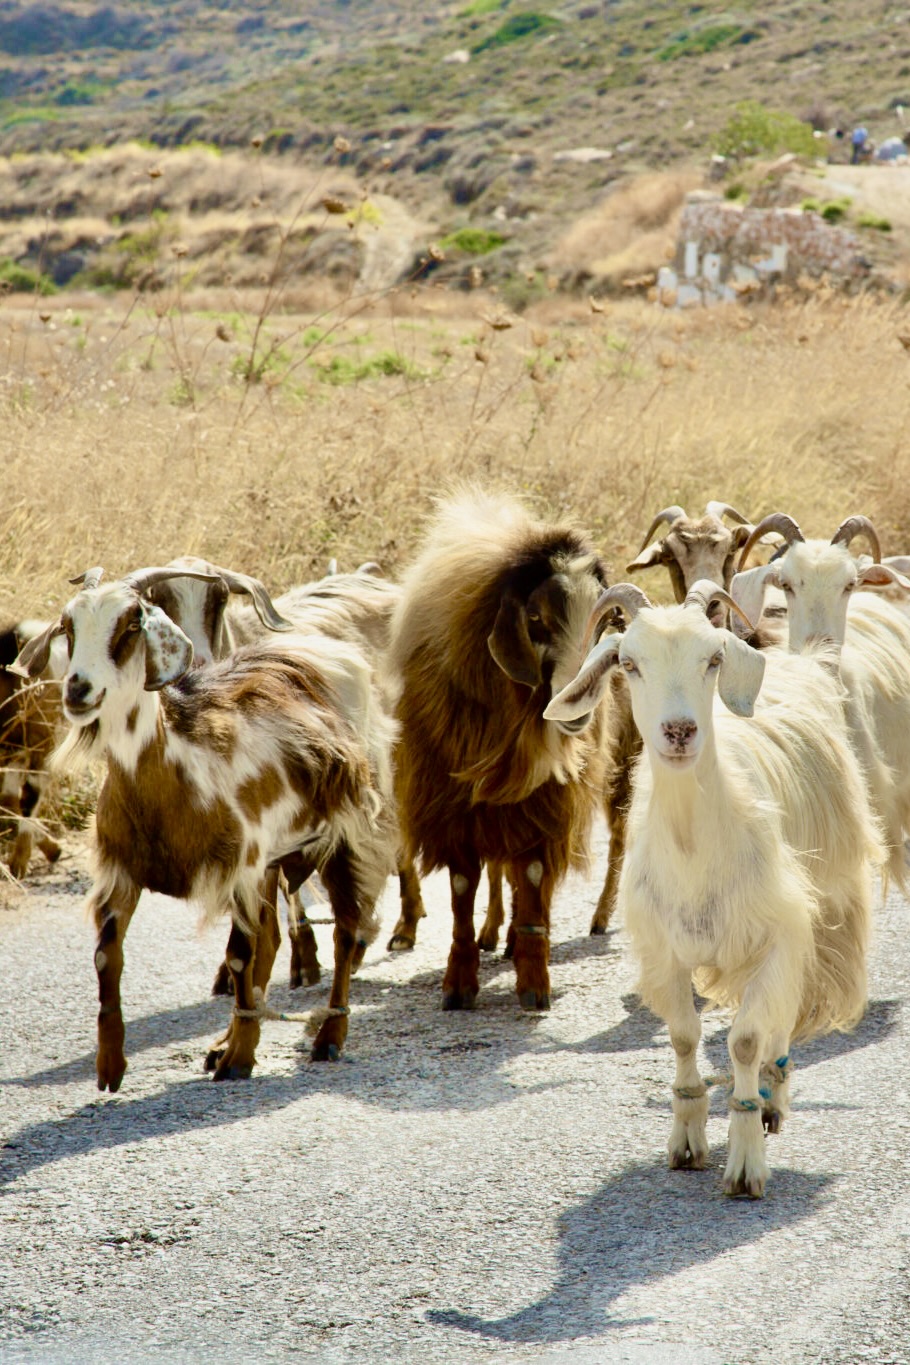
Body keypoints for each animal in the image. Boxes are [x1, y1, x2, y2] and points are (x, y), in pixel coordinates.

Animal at [15, 565, 397, 1090]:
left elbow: (239, 955)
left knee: (345, 930)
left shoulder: (241, 866)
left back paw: (329, 1036)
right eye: (68, 626)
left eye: (131, 624)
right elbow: (106, 958)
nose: (78, 690)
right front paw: (111, 1064)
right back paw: (227, 1041)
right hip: (277, 860)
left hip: (348, 834)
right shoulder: (122, 872)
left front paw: (241, 1056)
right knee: (275, 940)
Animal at [386, 490, 629, 1012]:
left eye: (604, 621)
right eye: (535, 618)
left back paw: (516, 937)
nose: (580, 704)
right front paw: (458, 985)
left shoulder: (542, 805)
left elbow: (533, 878)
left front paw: (534, 982)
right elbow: (463, 889)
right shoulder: (454, 809)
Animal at [545, 580, 880, 1198]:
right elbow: (683, 1037)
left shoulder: (778, 934)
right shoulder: (664, 953)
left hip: (819, 907)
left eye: (713, 660)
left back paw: (771, 1094)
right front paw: (687, 1138)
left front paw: (745, 1158)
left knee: (781, 1016)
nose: (679, 731)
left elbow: (745, 1039)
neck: (696, 850)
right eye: (629, 663)